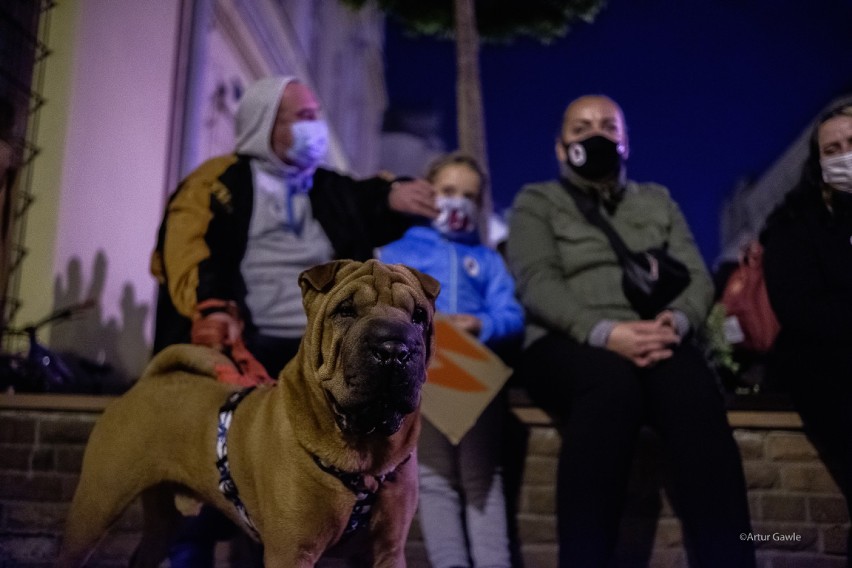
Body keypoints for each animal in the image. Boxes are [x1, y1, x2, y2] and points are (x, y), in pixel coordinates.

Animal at [55, 260, 440, 564]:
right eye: (345, 311)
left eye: (419, 316)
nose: (394, 348)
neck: (365, 452)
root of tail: (149, 379)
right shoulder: (291, 551)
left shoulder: (388, 551)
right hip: (96, 506)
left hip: (163, 519)